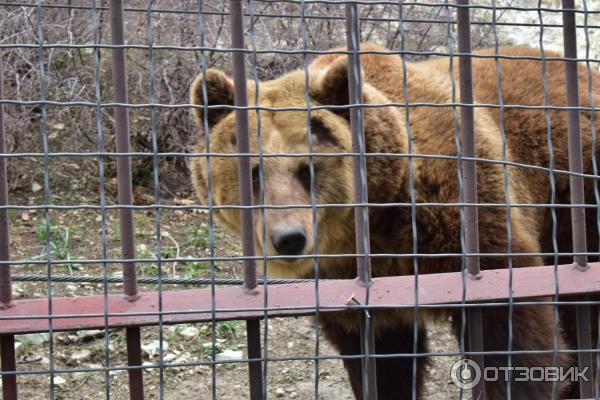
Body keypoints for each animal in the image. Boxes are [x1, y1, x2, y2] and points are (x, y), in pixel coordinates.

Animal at [189, 45, 600, 398]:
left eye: (308, 169)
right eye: (253, 174)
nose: (288, 238)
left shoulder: (459, 212)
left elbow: (510, 328)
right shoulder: (347, 284)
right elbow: (384, 361)